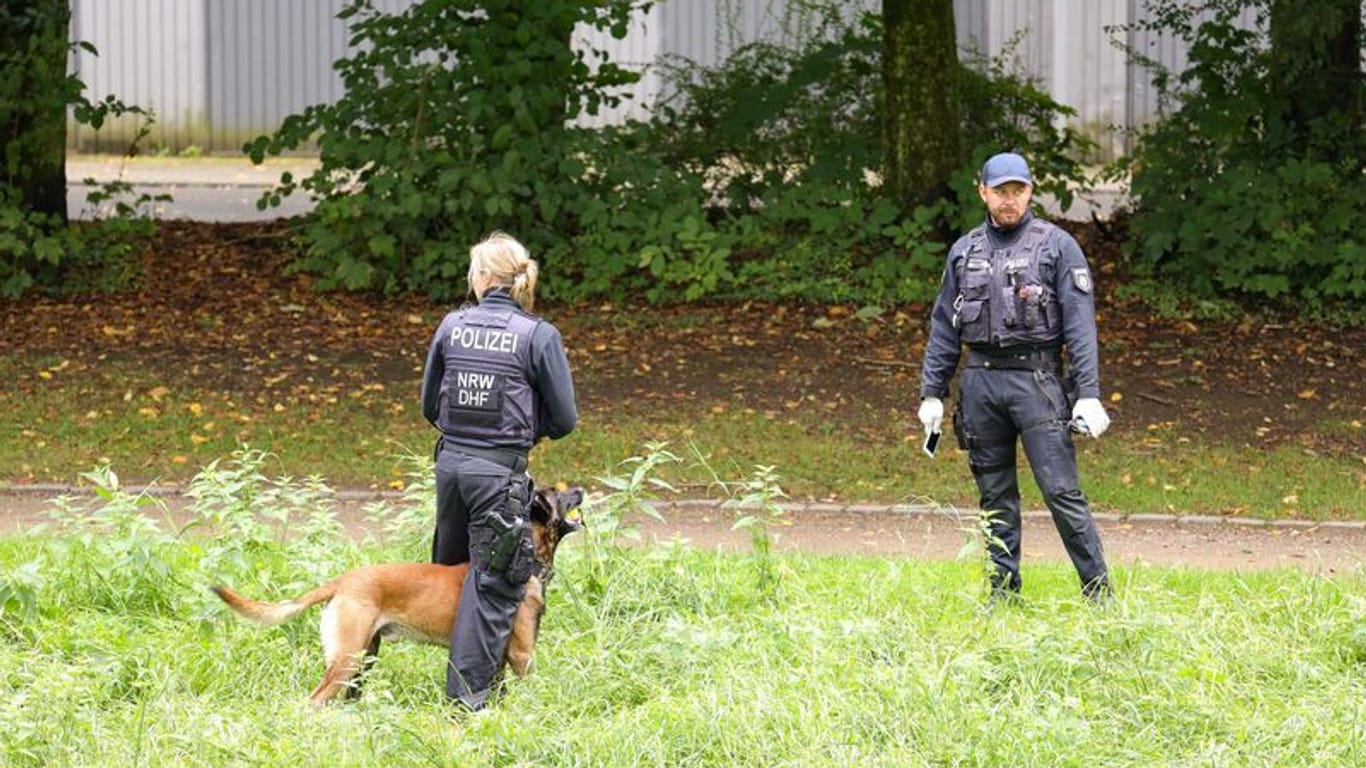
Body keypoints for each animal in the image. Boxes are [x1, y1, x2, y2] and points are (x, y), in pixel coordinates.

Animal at [210, 483, 584, 705]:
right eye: (560, 494)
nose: (581, 489)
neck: (529, 554)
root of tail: (344, 580)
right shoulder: (522, 655)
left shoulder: (499, 661)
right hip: (348, 658)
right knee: (316, 699)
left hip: (364, 656)